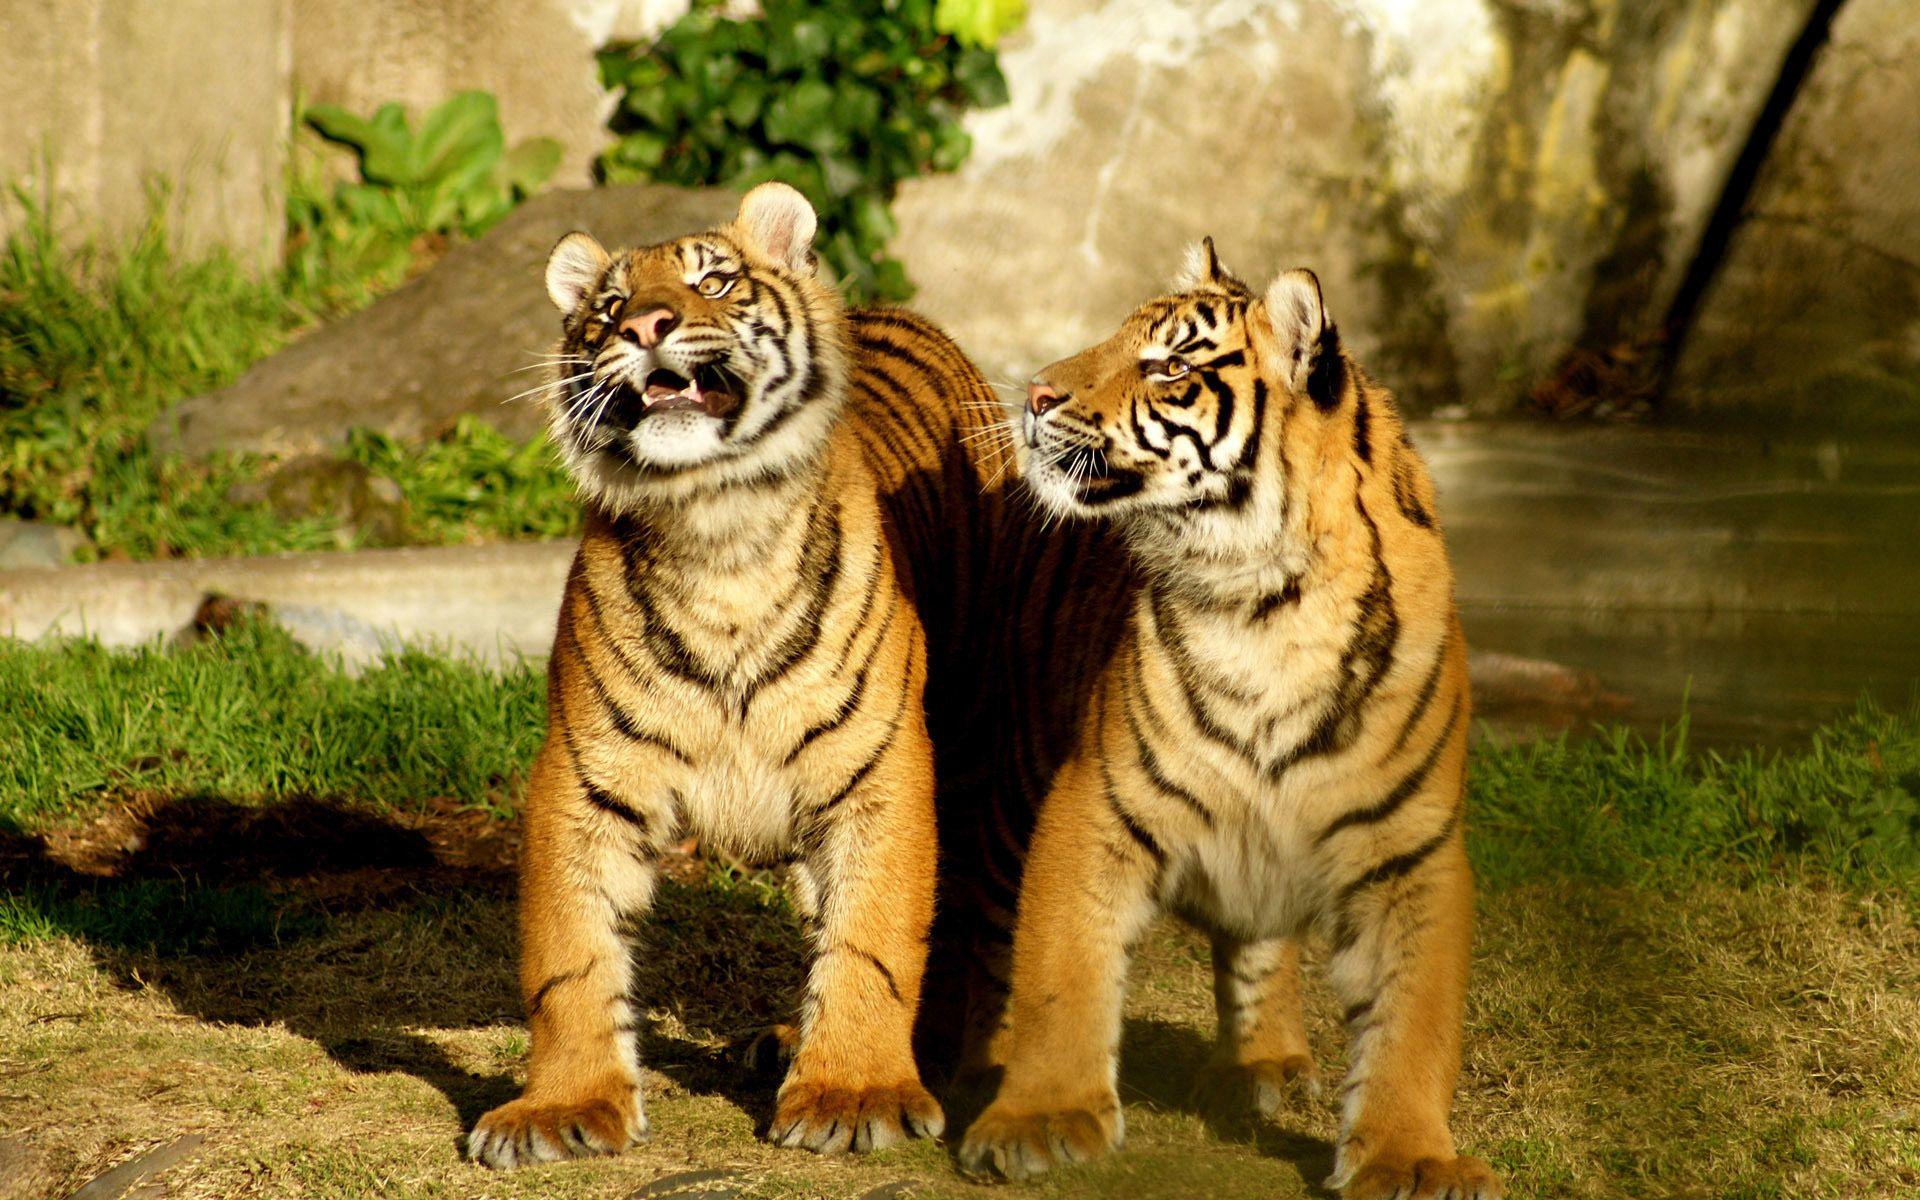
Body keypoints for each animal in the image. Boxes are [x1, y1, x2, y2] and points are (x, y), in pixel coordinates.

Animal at [467, 183, 1007, 1168]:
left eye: (712, 280)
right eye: (608, 305)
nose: (644, 324)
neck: (715, 529)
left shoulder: (882, 776)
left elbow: (874, 939)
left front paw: (854, 1094)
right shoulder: (581, 778)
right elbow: (570, 956)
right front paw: (562, 1108)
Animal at [954, 240, 1503, 1200]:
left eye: (1169, 367)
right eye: (1117, 336)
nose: (1034, 395)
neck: (1266, 604)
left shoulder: (1413, 849)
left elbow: (1415, 1021)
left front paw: (1410, 1158)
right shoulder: (1090, 805)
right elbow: (1062, 973)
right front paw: (1041, 1118)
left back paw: (1262, 1067)